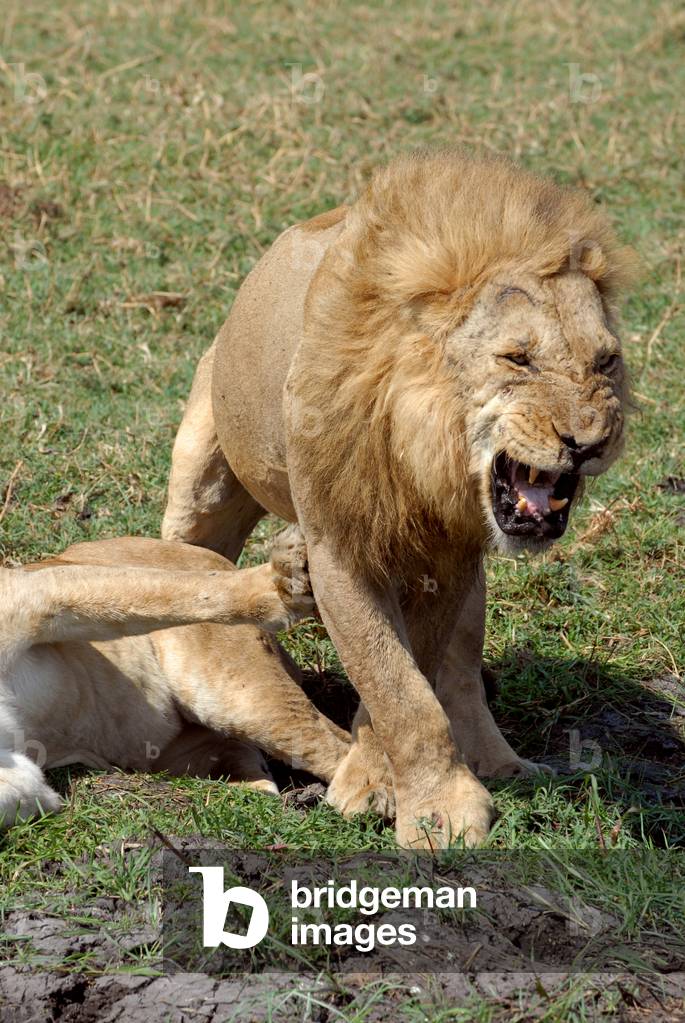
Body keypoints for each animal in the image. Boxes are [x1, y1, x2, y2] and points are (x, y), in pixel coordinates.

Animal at [161, 148, 635, 849]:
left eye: (606, 362)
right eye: (516, 359)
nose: (588, 442)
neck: (420, 442)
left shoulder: (449, 556)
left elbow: (411, 680)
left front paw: (384, 779)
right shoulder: (339, 544)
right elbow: (395, 685)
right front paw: (433, 810)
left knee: (462, 672)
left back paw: (499, 762)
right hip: (204, 474)